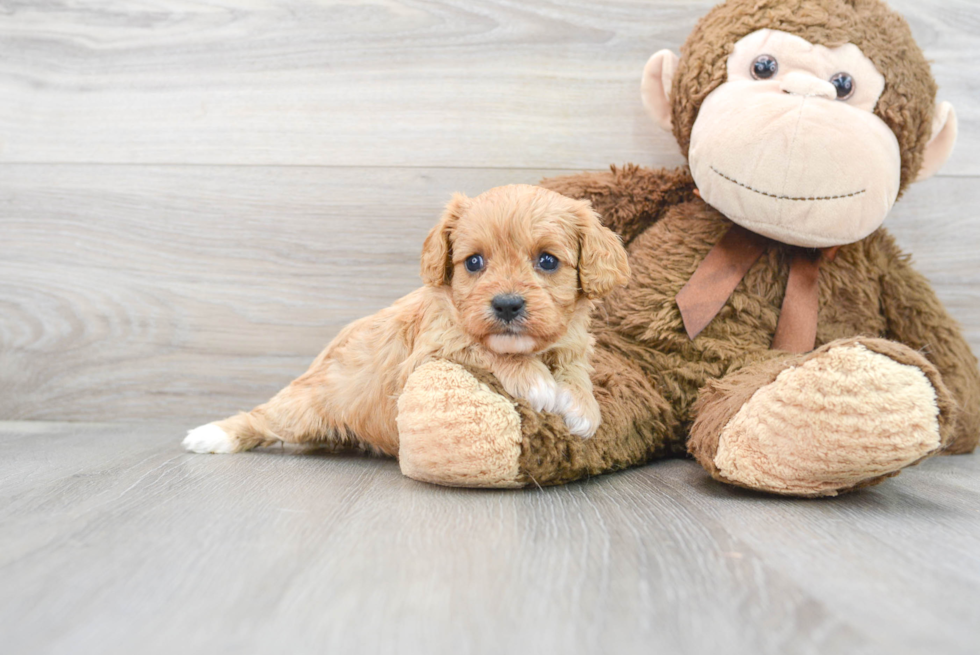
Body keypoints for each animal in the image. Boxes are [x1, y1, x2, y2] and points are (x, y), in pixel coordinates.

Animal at [181, 182, 632, 458]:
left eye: (547, 261)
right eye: (474, 262)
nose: (506, 306)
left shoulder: (572, 346)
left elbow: (575, 372)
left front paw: (583, 406)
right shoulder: (428, 354)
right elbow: (482, 348)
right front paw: (536, 381)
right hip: (303, 406)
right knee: (263, 417)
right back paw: (211, 435)